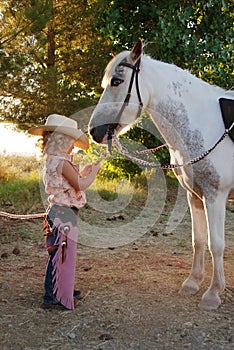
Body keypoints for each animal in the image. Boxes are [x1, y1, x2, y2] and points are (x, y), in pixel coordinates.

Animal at [88, 39, 234, 310]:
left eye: (117, 81)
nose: (95, 131)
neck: (207, 124)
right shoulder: (195, 196)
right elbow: (198, 240)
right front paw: (192, 282)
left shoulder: (215, 196)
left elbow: (216, 244)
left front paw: (213, 293)